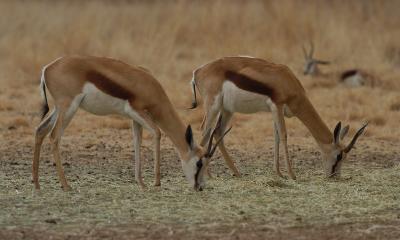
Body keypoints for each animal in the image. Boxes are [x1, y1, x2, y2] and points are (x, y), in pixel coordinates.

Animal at [32, 55, 227, 191]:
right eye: (199, 163)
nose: (200, 187)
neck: (148, 85)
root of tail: (47, 68)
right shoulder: (137, 111)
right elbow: (157, 133)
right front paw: (156, 182)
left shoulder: (135, 119)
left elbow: (137, 142)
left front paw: (141, 183)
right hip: (68, 107)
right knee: (54, 136)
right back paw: (65, 185)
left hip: (58, 109)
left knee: (40, 130)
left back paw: (36, 184)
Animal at [189, 56, 368, 179]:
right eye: (339, 155)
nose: (334, 176)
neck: (287, 81)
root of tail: (198, 71)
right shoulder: (277, 106)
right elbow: (283, 135)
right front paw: (292, 174)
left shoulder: (275, 110)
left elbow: (275, 137)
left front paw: (279, 174)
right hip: (213, 106)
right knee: (205, 131)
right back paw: (208, 175)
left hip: (227, 110)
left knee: (217, 132)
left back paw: (237, 172)